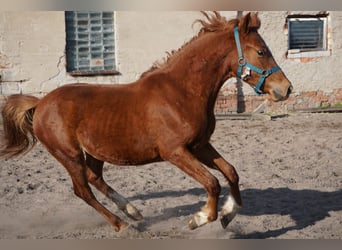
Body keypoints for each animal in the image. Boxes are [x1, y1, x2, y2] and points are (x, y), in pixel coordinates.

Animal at [1, 12, 292, 232]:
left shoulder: (199, 146)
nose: (286, 89)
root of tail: (40, 103)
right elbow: (212, 182)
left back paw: (133, 211)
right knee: (82, 190)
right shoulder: (175, 152)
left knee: (95, 178)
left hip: (94, 151)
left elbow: (231, 172)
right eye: (261, 51)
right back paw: (122, 224)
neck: (181, 92)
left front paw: (228, 214)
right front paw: (200, 218)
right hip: (68, 154)